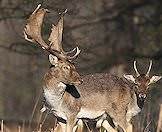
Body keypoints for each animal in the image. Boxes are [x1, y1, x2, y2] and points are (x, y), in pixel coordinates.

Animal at [24, 4, 162, 132]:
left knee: (129, 126)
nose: (80, 80)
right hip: (106, 117)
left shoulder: (73, 114)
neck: (57, 103)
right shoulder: (60, 118)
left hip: (118, 111)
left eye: (74, 65)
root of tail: (129, 89)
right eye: (65, 67)